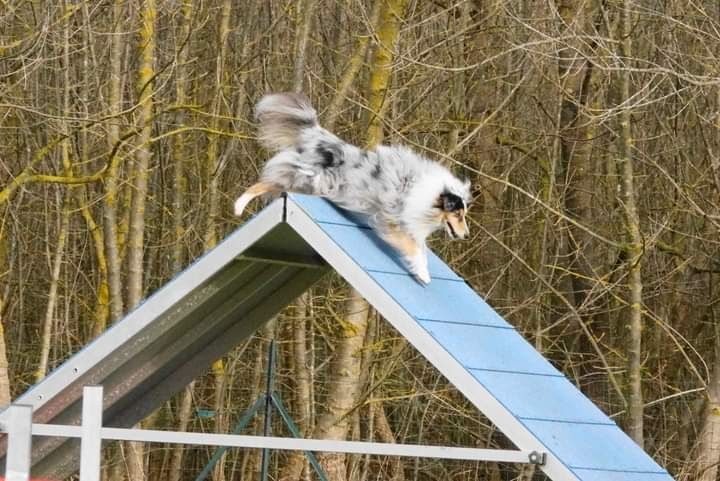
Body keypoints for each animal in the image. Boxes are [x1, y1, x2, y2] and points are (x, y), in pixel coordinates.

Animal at [233, 92, 472, 284]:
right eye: (458, 214)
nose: (467, 236)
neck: (430, 195)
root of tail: (318, 135)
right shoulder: (392, 219)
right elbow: (412, 247)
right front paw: (423, 275)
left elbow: (421, 249)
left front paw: (421, 269)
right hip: (308, 178)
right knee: (264, 183)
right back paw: (238, 206)